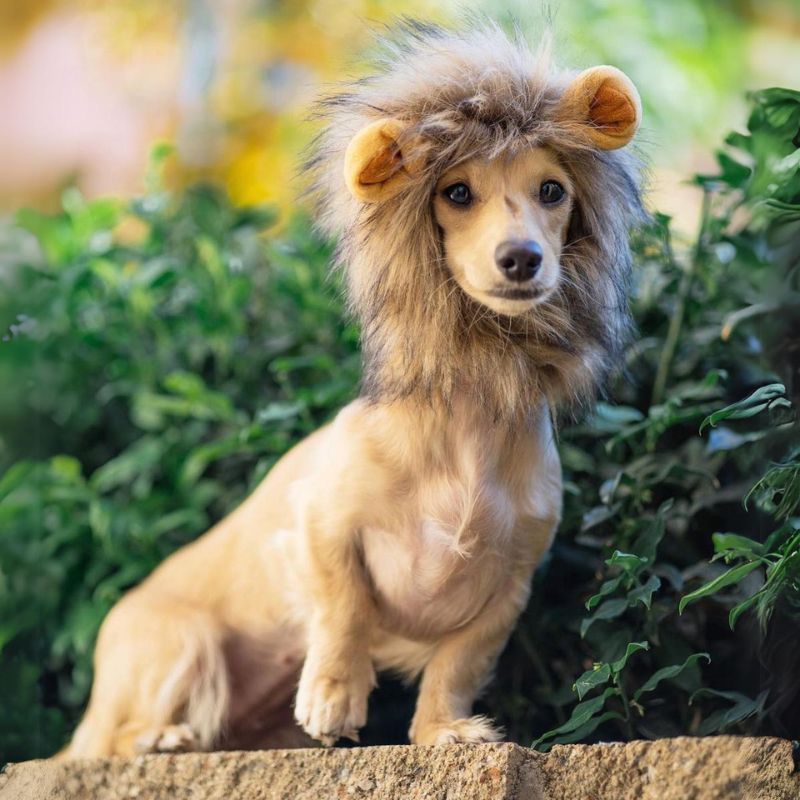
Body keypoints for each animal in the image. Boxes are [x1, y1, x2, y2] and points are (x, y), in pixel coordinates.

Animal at [63, 21, 644, 756]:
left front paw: (442, 730)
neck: (469, 411)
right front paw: (335, 694)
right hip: (181, 644)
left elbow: (456, 667)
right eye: (456, 193)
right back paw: (161, 739)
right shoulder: (323, 527)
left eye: (552, 191)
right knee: (107, 743)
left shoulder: (507, 589)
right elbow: (346, 609)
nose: (521, 259)